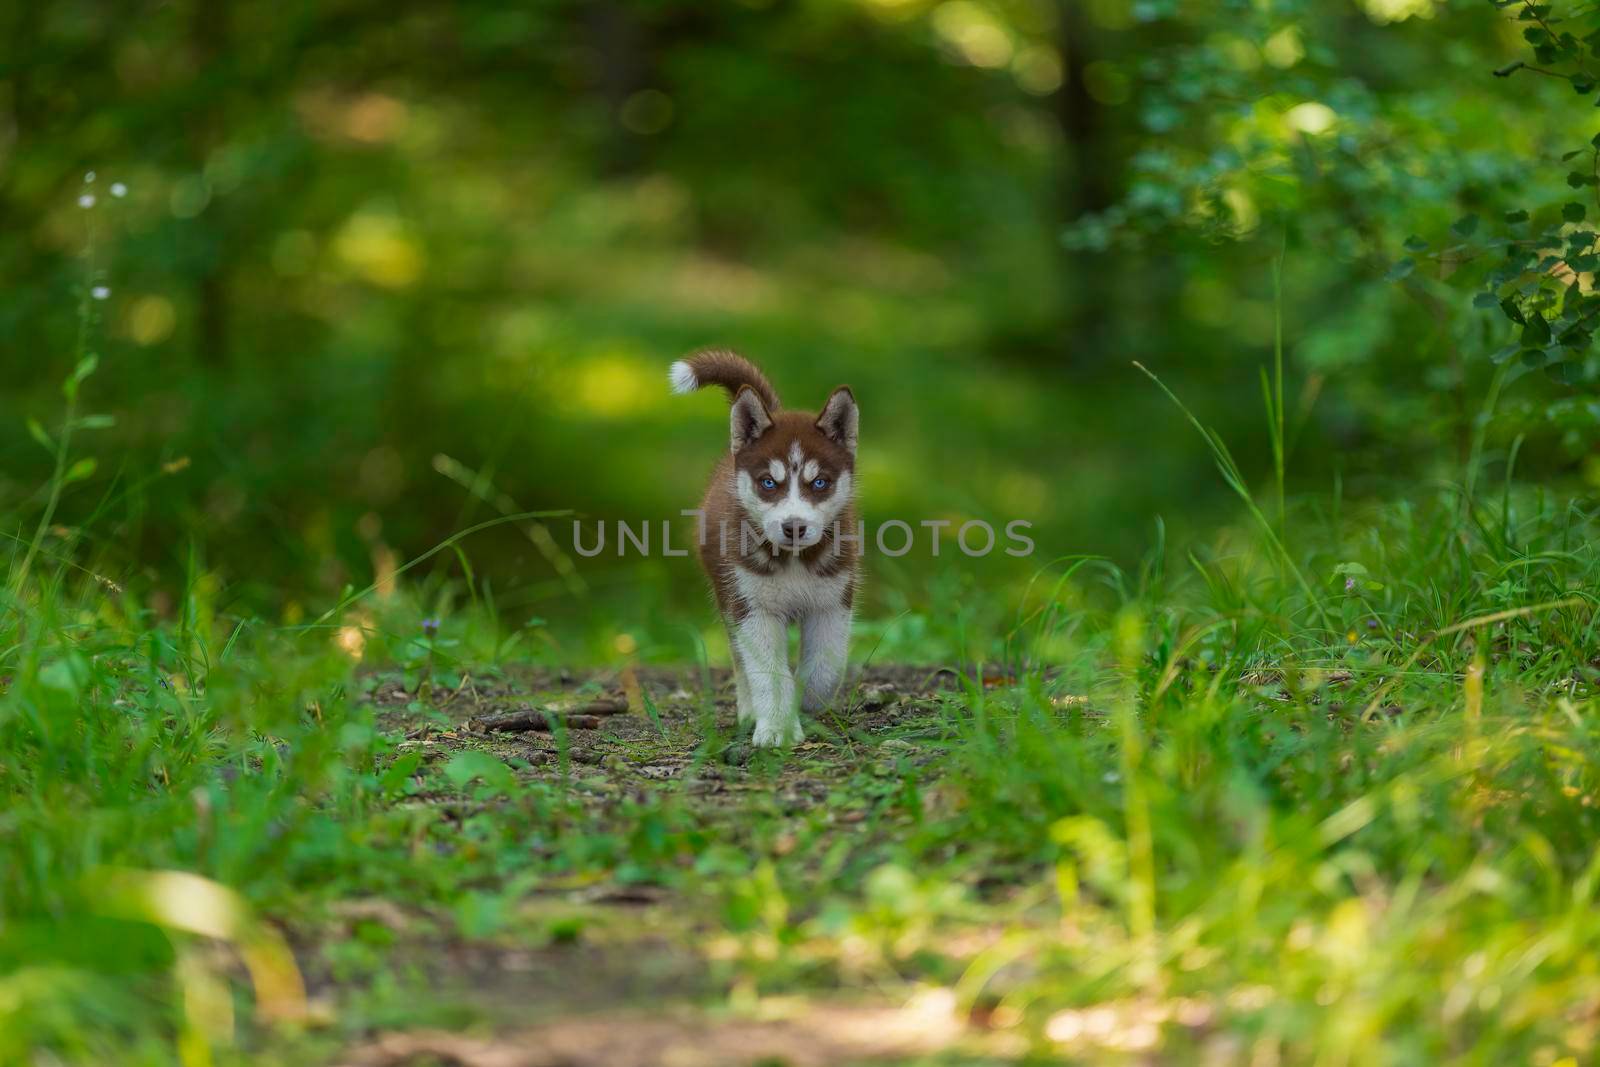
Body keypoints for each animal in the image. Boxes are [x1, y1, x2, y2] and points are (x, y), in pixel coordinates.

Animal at [665, 351, 864, 751]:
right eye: (769, 483)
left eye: (819, 482)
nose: (793, 527)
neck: (793, 561)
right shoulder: (752, 608)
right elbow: (767, 671)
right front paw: (777, 727)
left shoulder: (833, 601)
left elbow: (825, 666)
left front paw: (806, 702)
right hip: (727, 595)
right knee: (740, 660)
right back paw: (747, 711)